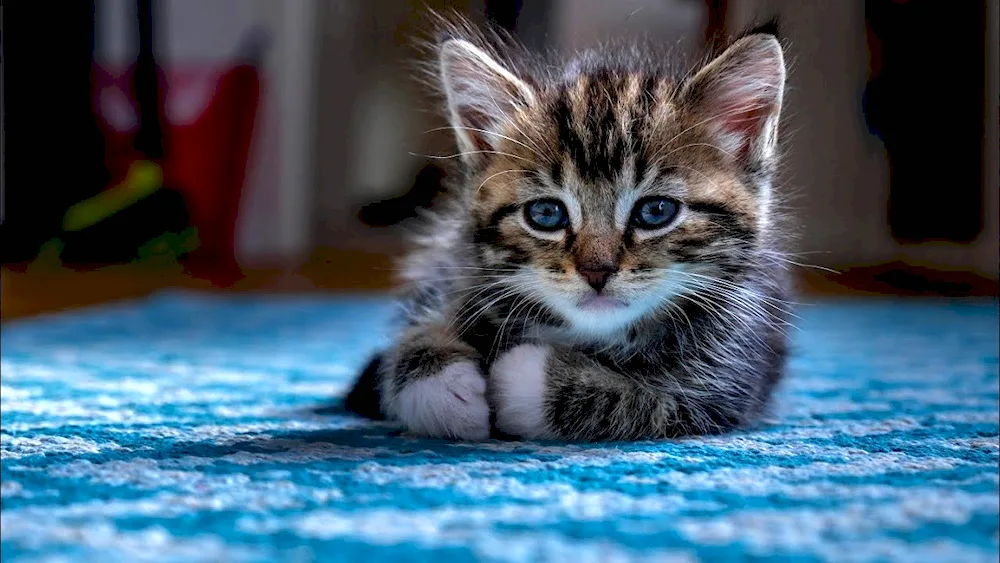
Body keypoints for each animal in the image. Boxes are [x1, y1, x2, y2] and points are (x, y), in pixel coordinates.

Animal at [346, 16, 796, 440]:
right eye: (546, 214)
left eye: (656, 211)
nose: (596, 272)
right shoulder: (461, 274)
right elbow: (418, 334)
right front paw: (444, 391)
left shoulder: (730, 380)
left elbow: (643, 401)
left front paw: (522, 377)